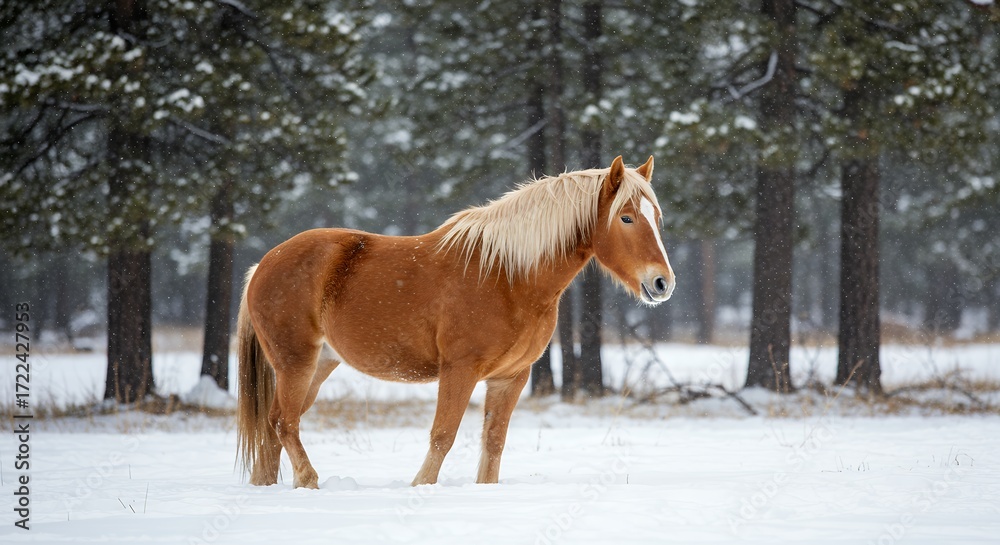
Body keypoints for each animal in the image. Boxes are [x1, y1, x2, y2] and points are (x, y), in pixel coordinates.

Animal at [236, 155, 675, 489]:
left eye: (656, 217)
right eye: (626, 218)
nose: (662, 283)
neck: (508, 276)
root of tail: (262, 265)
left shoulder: (511, 377)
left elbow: (494, 442)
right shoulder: (459, 370)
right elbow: (443, 436)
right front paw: (421, 486)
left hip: (319, 365)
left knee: (275, 429)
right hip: (296, 362)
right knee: (284, 422)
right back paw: (309, 481)